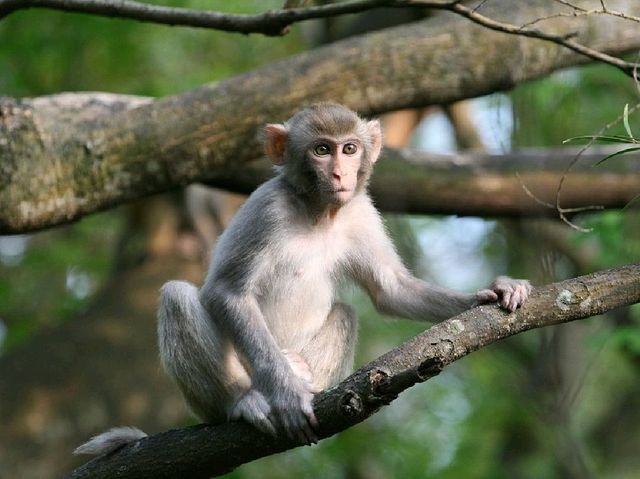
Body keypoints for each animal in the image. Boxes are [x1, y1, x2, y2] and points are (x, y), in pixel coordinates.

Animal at [75, 103, 528, 456]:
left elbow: (391, 291)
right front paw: (288, 396)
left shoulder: (359, 212)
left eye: (350, 148)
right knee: (176, 296)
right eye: (322, 149)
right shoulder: (268, 208)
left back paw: (307, 379)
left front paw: (493, 292)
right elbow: (227, 292)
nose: (341, 175)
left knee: (345, 313)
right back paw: (246, 401)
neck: (319, 212)